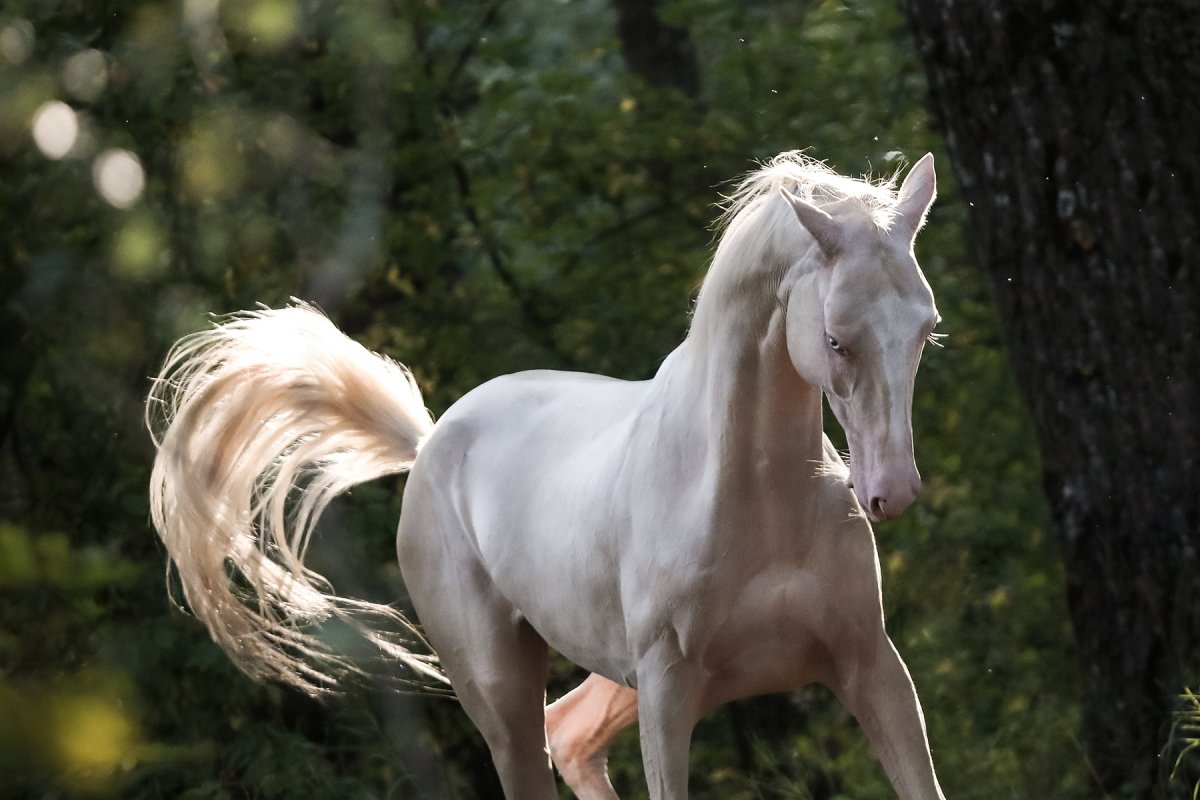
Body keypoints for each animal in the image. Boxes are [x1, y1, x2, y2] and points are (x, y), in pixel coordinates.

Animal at [147, 151, 947, 800]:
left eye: (926, 328)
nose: (891, 493)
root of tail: (431, 441)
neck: (753, 499)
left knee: (571, 733)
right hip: (504, 698)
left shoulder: (869, 664)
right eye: (836, 339)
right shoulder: (668, 694)